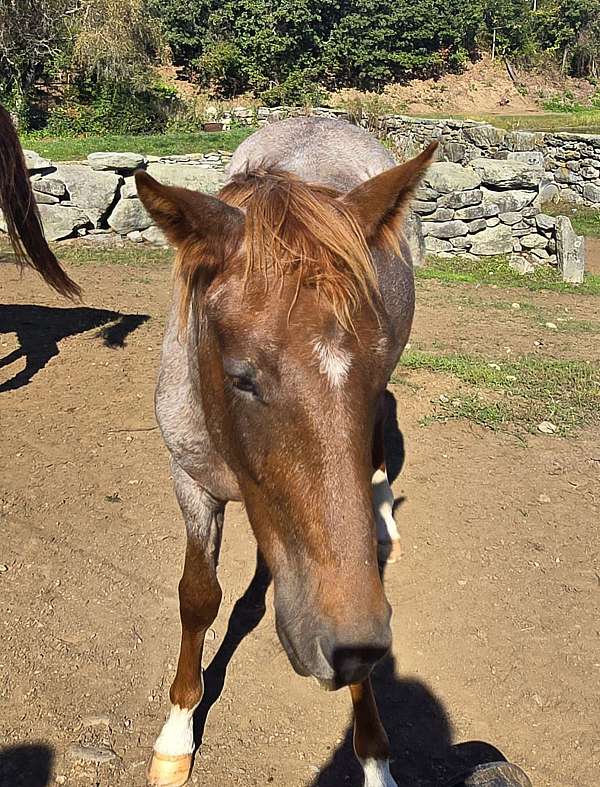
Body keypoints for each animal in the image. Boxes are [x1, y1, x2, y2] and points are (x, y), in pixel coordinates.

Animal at [135, 115, 436, 787]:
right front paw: (177, 732)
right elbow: (199, 598)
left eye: (373, 368)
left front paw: (373, 755)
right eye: (241, 376)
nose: (350, 648)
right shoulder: (189, 480)